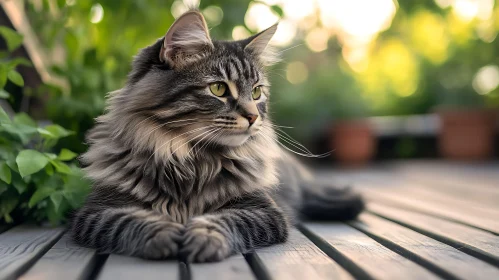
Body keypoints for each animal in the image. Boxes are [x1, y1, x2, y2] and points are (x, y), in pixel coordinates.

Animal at [70, 9, 364, 262]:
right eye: (219, 89)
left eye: (256, 93)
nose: (253, 117)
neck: (189, 160)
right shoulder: (99, 211)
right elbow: (132, 221)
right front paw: (164, 234)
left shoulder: (264, 211)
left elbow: (227, 220)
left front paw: (203, 238)